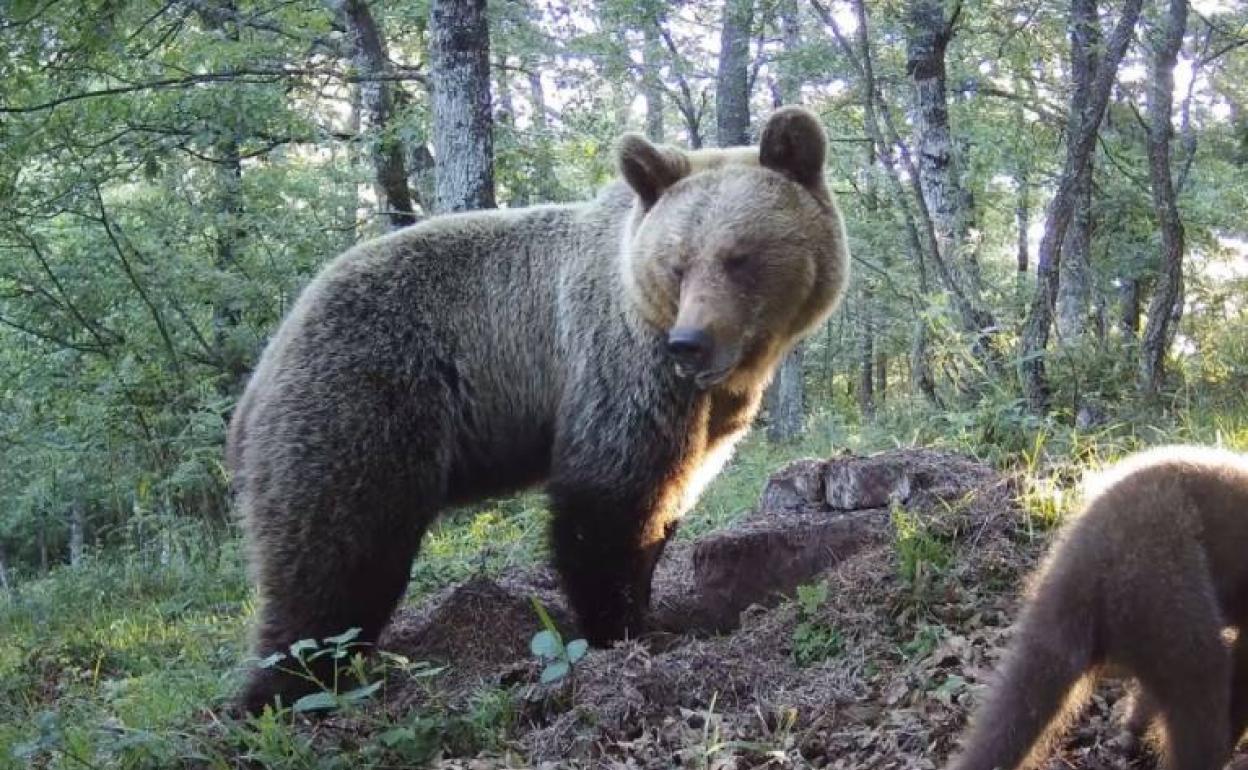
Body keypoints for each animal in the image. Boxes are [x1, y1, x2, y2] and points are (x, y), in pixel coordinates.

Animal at [227, 104, 848, 713]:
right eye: (677, 264)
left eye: (739, 257)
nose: (689, 343)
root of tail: (264, 369)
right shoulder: (617, 366)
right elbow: (607, 500)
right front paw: (622, 629)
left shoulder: (707, 413)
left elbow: (670, 496)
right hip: (364, 400)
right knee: (335, 556)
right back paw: (283, 691)